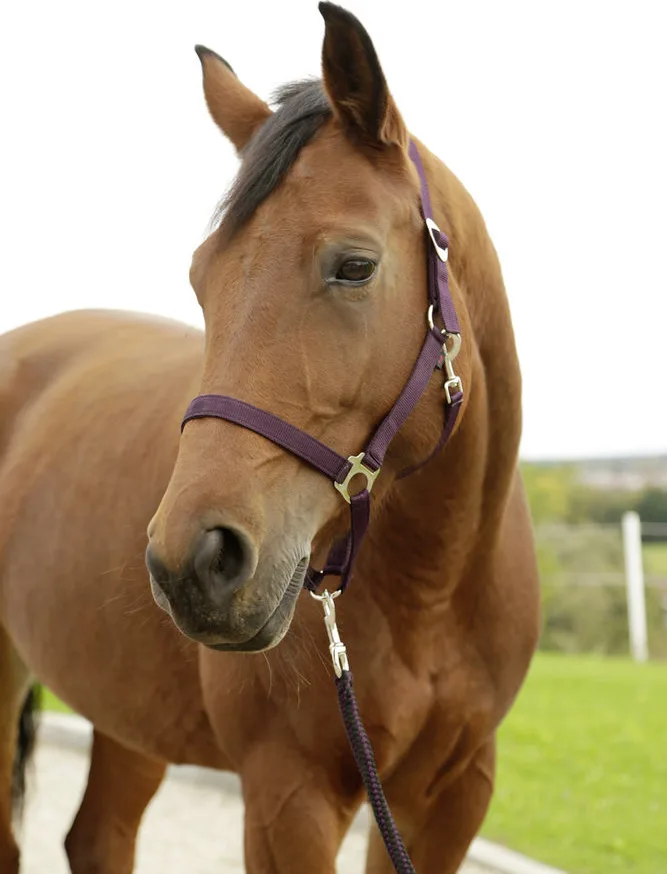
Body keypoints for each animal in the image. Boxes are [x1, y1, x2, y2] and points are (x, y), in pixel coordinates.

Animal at [0, 4, 540, 872]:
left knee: (98, 835)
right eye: (200, 277)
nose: (193, 561)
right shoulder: (289, 798)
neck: (433, 589)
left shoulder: (450, 799)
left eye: (354, 266)